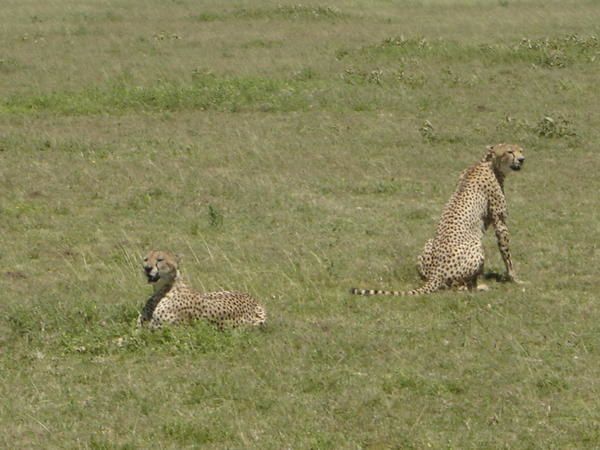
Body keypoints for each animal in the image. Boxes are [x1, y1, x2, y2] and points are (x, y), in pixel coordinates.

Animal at [352, 144, 524, 298]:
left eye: (521, 150)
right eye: (510, 151)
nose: (522, 159)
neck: (487, 163)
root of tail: (436, 273)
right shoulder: (500, 221)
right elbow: (506, 252)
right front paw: (514, 278)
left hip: (429, 244)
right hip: (476, 249)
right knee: (457, 287)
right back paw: (480, 287)